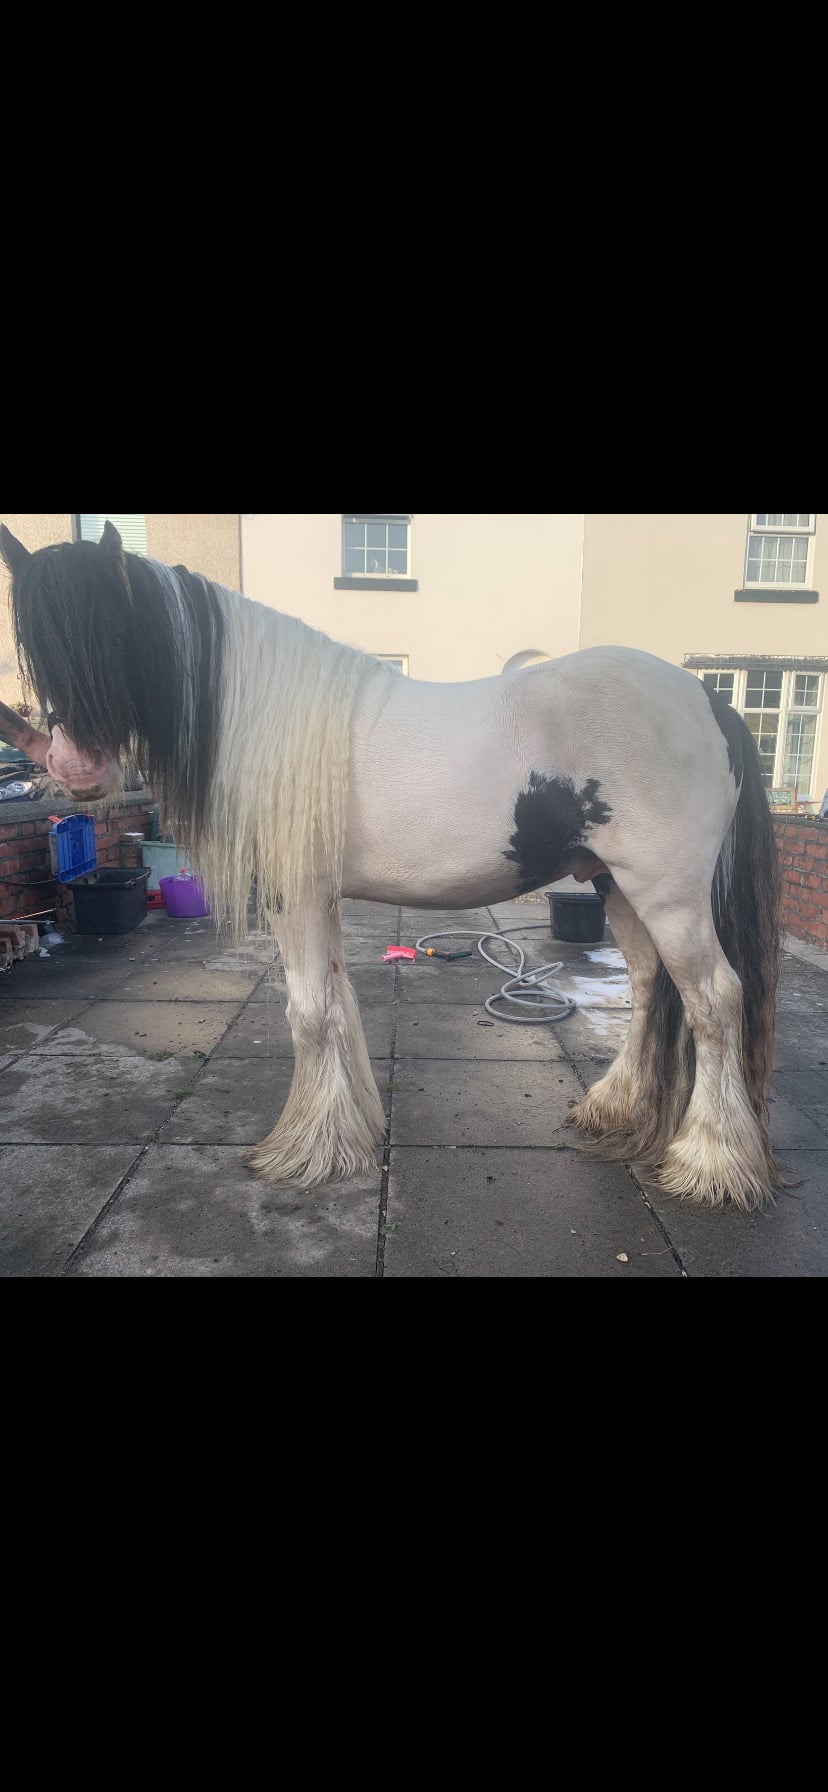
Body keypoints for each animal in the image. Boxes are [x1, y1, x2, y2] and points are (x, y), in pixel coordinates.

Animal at [0, 520, 781, 1211]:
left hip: (668, 892)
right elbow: (336, 1005)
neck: (261, 717)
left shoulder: (295, 894)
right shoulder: (319, 895)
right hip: (619, 886)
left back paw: (710, 1163)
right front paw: (343, 1134)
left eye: (115, 632)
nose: (74, 772)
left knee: (714, 999)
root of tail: (708, 700)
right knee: (651, 988)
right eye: (35, 645)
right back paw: (616, 1110)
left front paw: (302, 1151)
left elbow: (309, 1012)